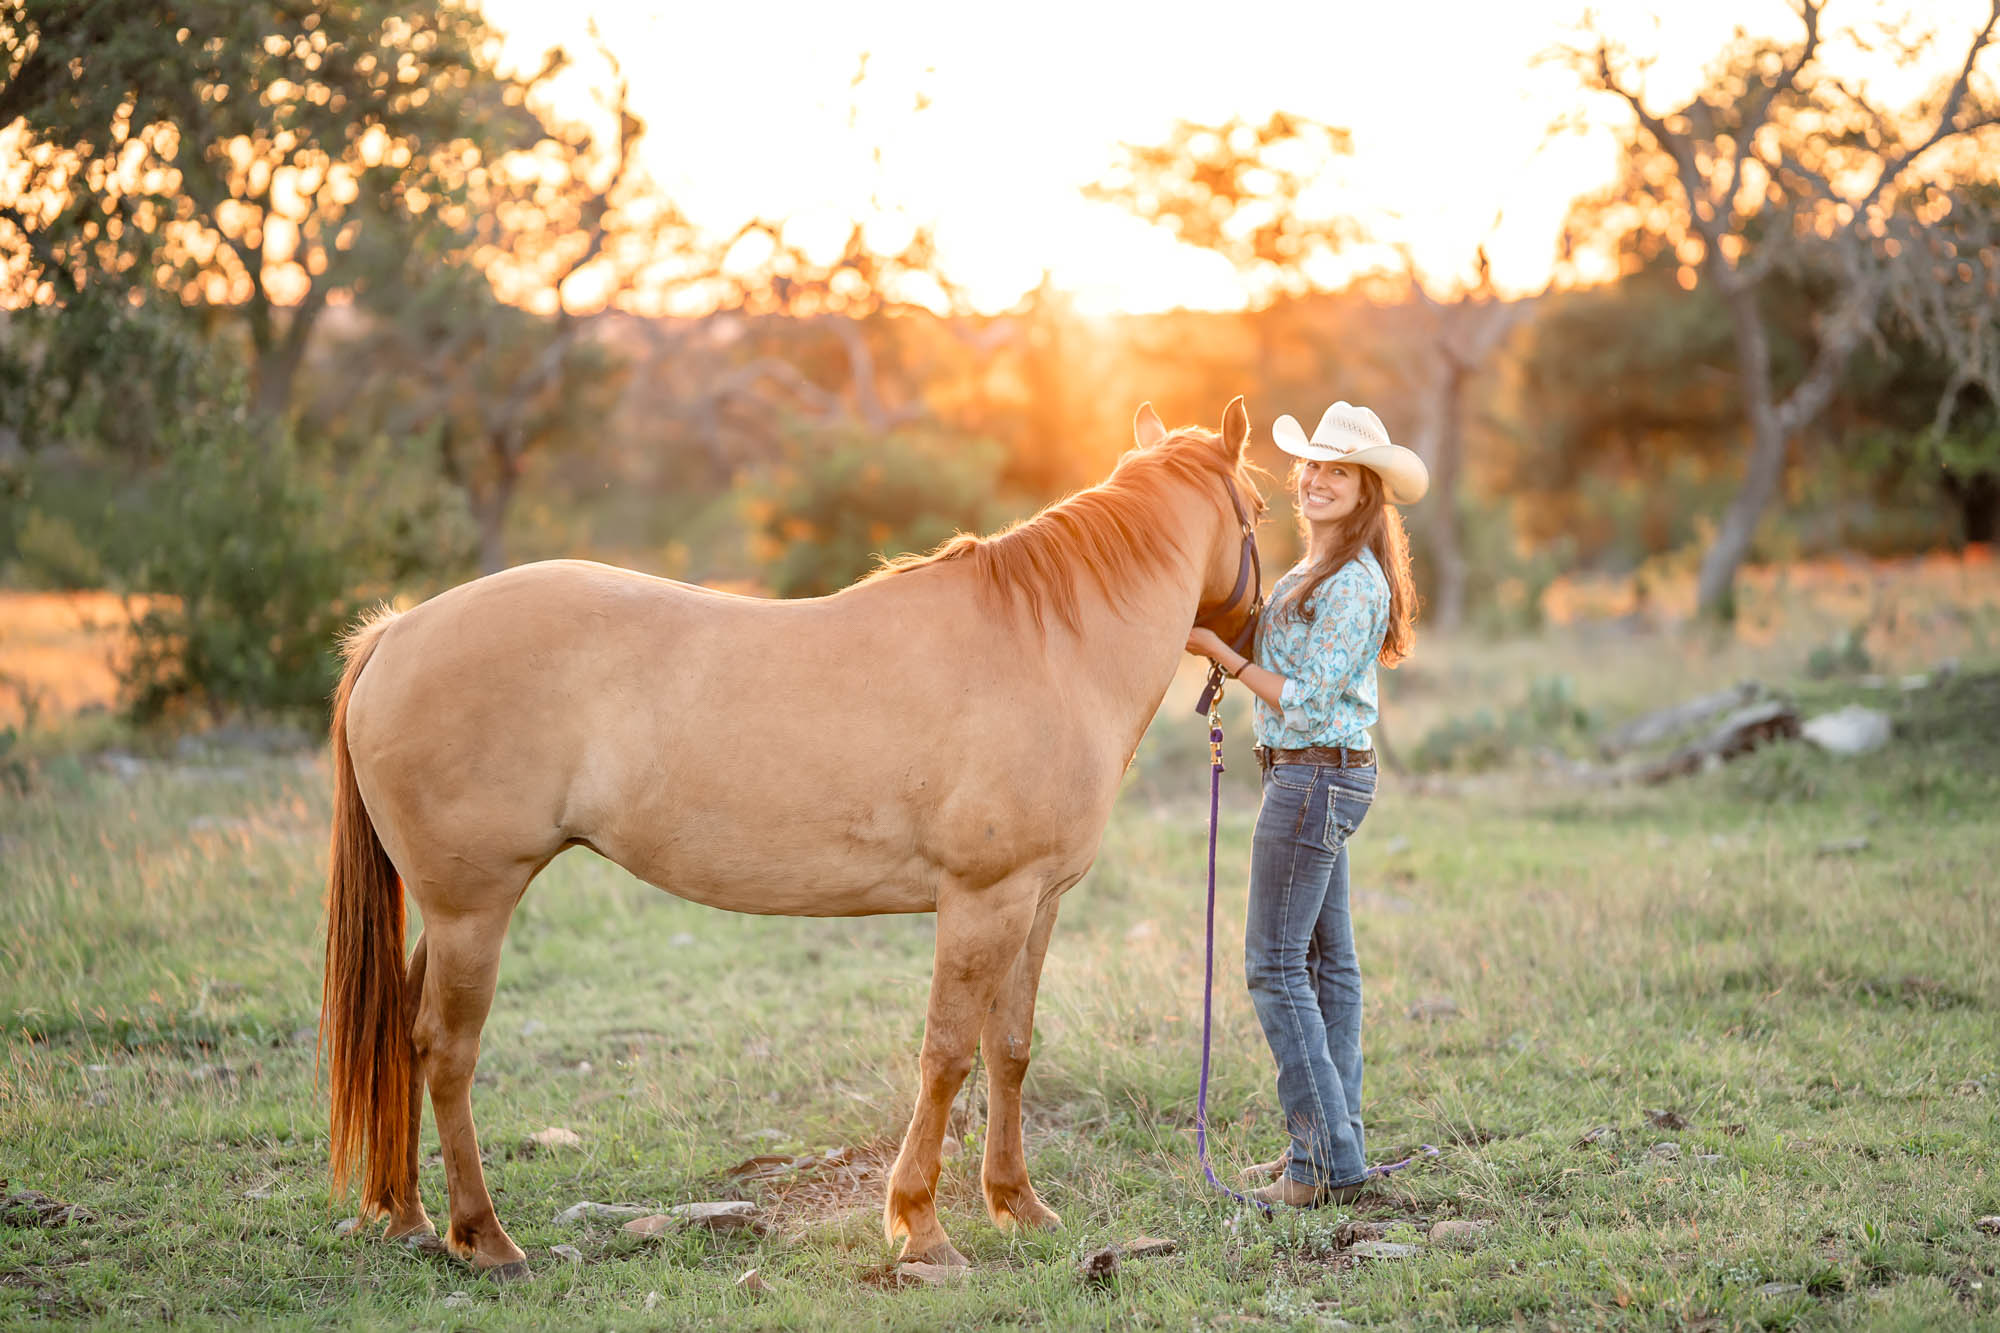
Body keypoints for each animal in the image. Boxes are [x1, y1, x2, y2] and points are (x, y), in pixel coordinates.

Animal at [320, 397, 1266, 1275]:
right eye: (1259, 503)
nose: (1260, 640)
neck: (1049, 650)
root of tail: (397, 631)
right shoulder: (981, 903)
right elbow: (946, 1055)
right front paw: (921, 1224)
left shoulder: (1035, 903)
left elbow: (1010, 1049)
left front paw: (1018, 1205)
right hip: (471, 908)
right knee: (446, 1049)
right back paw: (484, 1237)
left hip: (450, 912)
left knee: (403, 1035)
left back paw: (410, 1217)